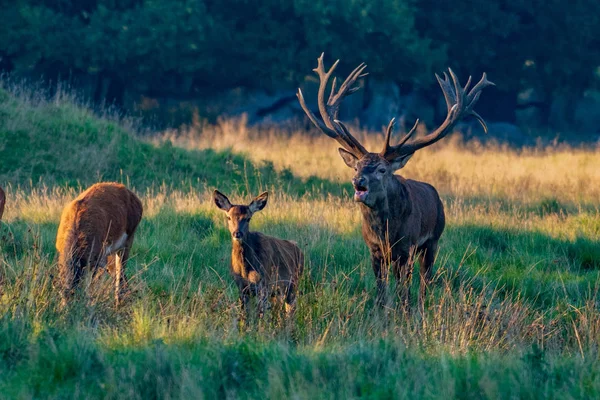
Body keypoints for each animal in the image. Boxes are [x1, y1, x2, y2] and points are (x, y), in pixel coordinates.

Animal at [212, 189, 302, 320]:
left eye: (248, 218)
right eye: (228, 217)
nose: (237, 233)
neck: (245, 269)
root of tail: (299, 248)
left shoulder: (263, 284)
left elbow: (260, 314)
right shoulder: (241, 287)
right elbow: (245, 315)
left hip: (293, 284)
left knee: (291, 311)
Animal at [298, 54, 494, 310]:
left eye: (382, 169)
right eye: (357, 166)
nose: (357, 181)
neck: (386, 233)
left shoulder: (406, 247)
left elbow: (404, 290)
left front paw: (404, 312)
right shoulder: (374, 250)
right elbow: (381, 290)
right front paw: (381, 312)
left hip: (433, 240)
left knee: (425, 281)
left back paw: (420, 307)